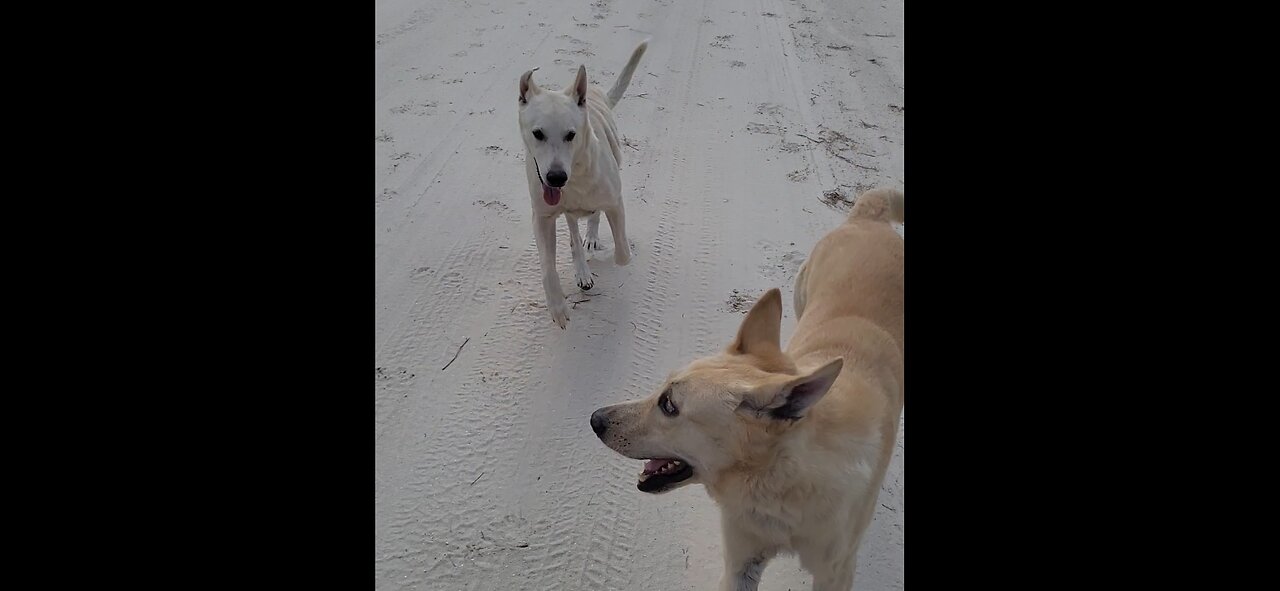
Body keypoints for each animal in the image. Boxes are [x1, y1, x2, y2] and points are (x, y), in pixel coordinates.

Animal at [514, 39, 645, 330]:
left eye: (571, 134)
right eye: (538, 133)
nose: (556, 177)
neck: (574, 177)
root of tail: (595, 93)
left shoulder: (614, 200)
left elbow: (622, 252)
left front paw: (614, 252)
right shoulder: (543, 217)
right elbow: (547, 268)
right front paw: (558, 307)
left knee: (591, 219)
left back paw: (592, 237)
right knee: (573, 229)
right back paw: (582, 268)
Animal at [588, 189, 901, 591]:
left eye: (669, 405)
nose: (595, 419)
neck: (777, 484)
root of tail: (869, 219)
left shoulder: (835, 572)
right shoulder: (741, 560)